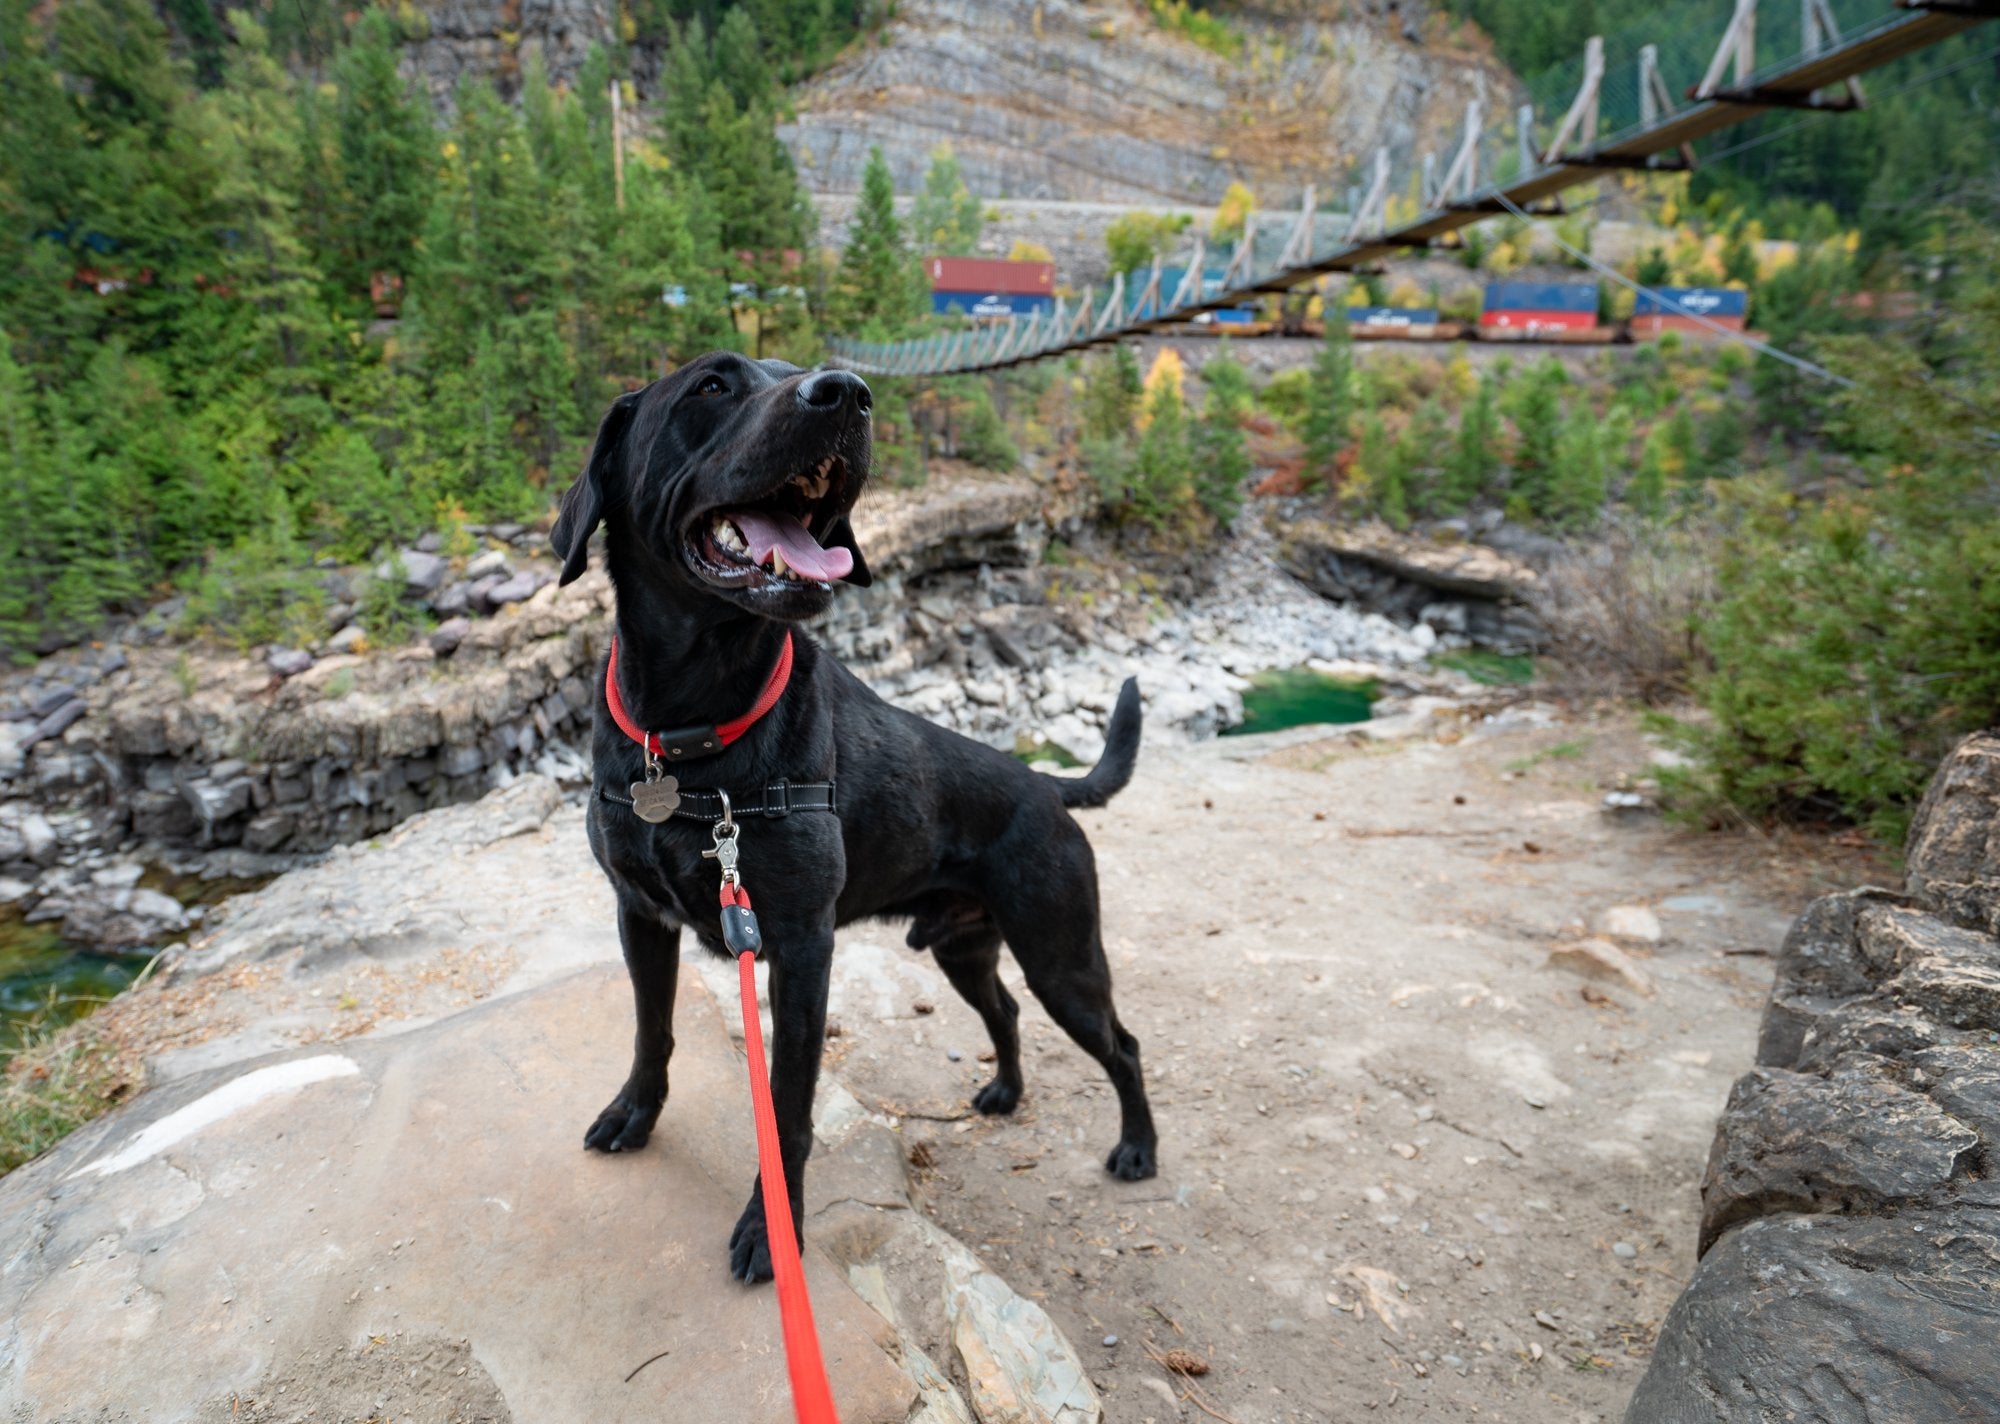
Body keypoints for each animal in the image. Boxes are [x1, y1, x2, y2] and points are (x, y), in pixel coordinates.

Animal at [556, 354, 1168, 1280]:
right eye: (711, 385)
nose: (845, 390)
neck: (695, 733)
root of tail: (1040, 783)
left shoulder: (800, 947)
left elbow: (787, 1102)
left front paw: (770, 1229)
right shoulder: (640, 917)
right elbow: (650, 1034)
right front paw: (635, 1114)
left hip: (1062, 955)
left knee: (1121, 1044)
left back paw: (1138, 1149)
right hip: (962, 947)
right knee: (1005, 1012)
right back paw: (1005, 1090)